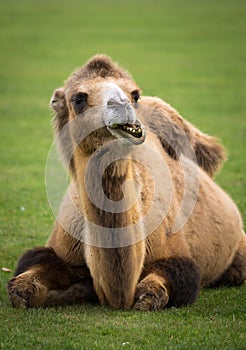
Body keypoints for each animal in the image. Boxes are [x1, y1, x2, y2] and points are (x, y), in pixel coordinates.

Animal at [7, 54, 246, 308]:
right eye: (78, 98)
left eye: (135, 95)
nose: (122, 105)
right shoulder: (59, 249)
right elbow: (22, 284)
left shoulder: (176, 257)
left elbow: (160, 287)